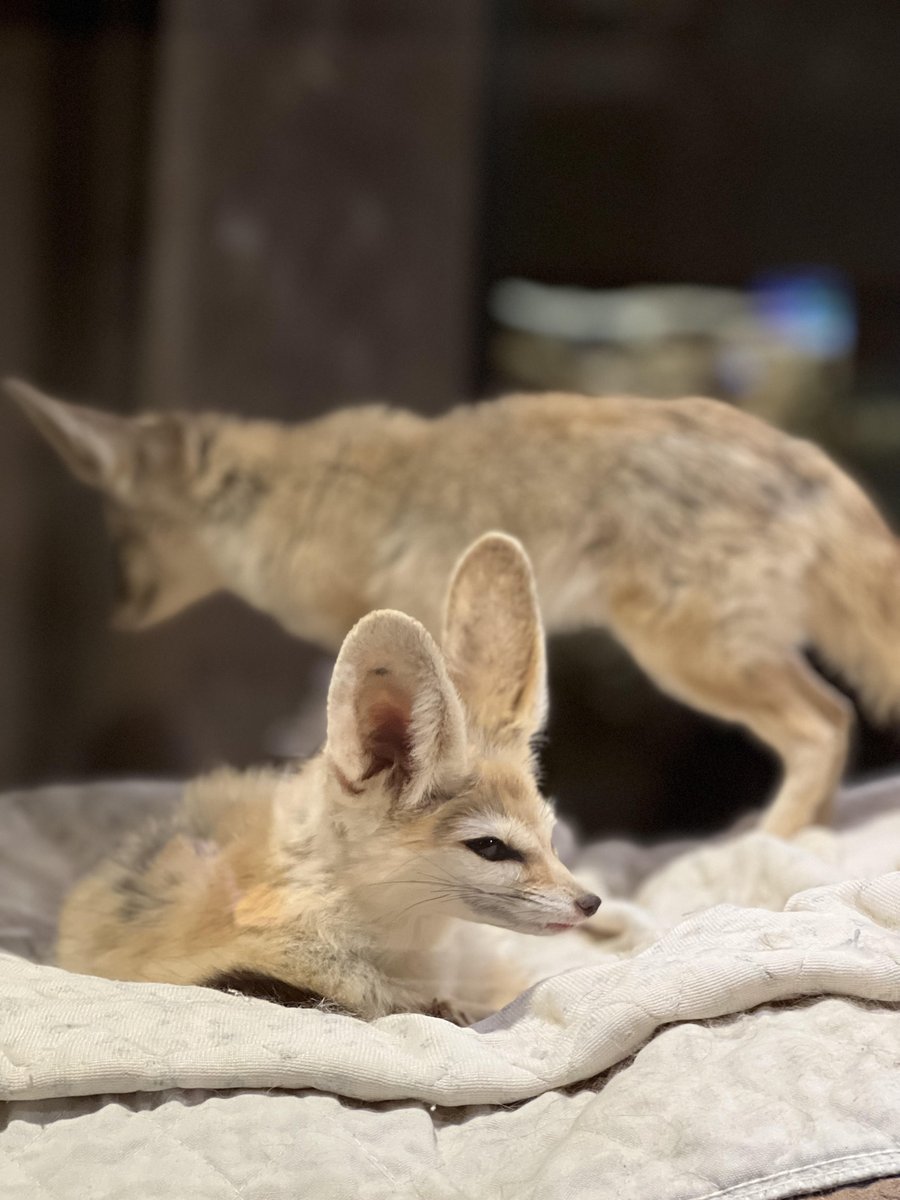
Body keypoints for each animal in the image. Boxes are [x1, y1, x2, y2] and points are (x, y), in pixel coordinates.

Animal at [7, 376, 899, 838]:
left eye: (121, 544)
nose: (118, 613)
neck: (287, 491)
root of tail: (809, 456)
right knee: (837, 723)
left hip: (690, 658)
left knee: (826, 727)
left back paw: (758, 854)